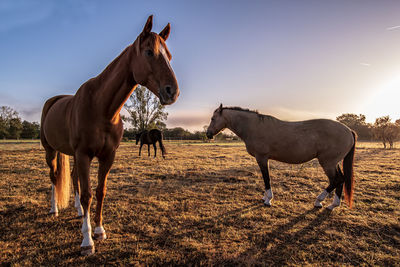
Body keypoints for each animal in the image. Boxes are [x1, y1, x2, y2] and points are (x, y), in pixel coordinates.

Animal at [39, 15, 179, 256]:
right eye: (149, 52)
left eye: (169, 56)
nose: (173, 92)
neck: (100, 107)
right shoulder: (84, 154)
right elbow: (88, 194)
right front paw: (87, 241)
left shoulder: (107, 156)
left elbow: (100, 191)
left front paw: (99, 230)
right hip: (51, 151)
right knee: (54, 176)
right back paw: (54, 209)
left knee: (73, 178)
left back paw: (77, 210)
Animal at [206, 104, 356, 211]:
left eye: (213, 119)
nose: (208, 134)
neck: (254, 127)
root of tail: (349, 130)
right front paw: (265, 197)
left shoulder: (262, 158)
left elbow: (266, 178)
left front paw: (268, 199)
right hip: (333, 163)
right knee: (340, 179)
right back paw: (332, 205)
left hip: (327, 163)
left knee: (336, 180)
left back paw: (318, 201)